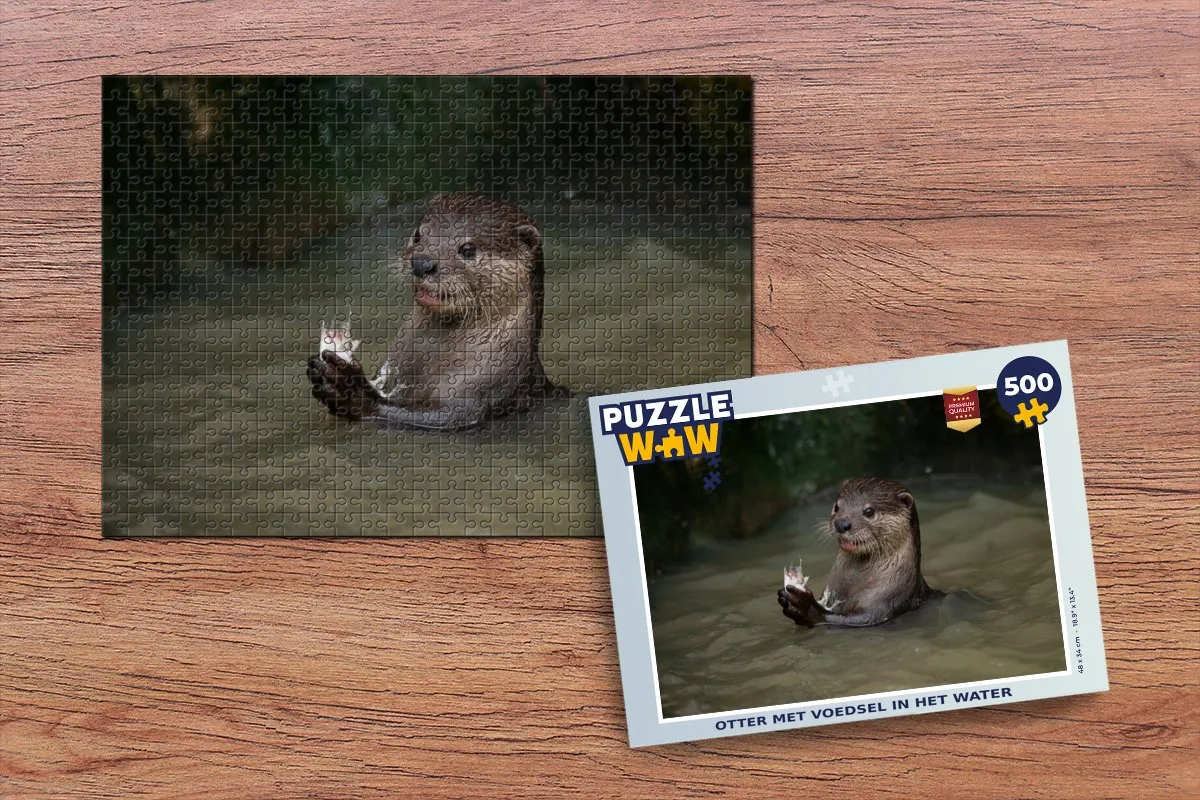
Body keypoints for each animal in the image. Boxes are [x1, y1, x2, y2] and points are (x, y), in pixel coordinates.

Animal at [307, 192, 555, 430]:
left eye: (468, 249)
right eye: (418, 234)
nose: (422, 263)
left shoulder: (481, 390)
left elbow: (441, 416)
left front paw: (352, 391)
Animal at [778, 477, 941, 627]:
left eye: (869, 511)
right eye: (837, 506)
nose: (841, 523)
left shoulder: (887, 601)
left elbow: (851, 619)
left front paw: (804, 606)